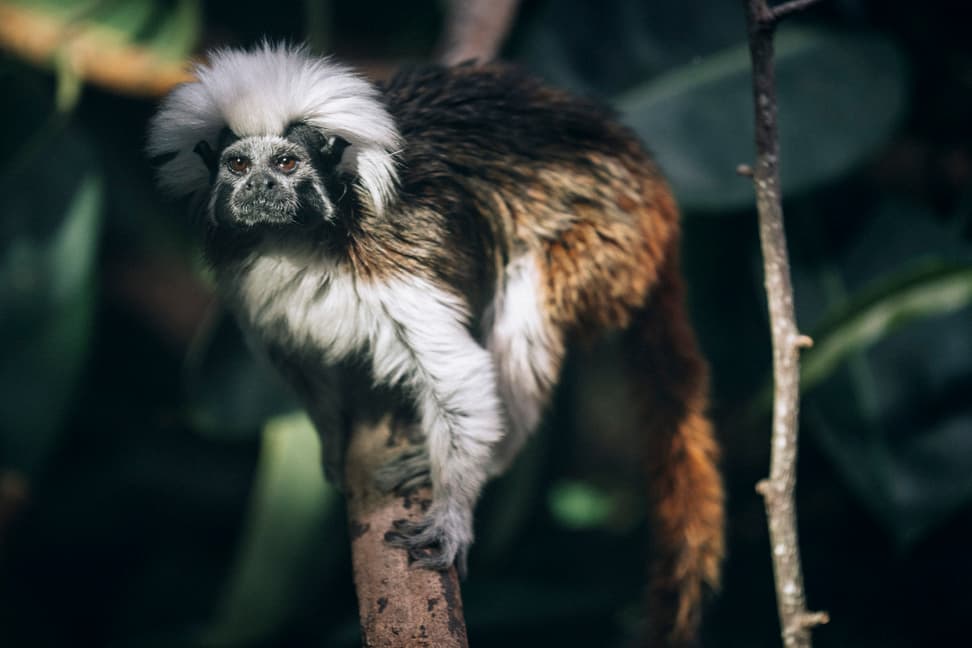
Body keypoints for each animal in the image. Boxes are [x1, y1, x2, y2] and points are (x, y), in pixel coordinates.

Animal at [148, 43, 723, 646]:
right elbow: (299, 369)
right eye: (238, 166)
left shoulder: (391, 265)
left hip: (607, 238)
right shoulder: (249, 288)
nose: (260, 188)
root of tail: (647, 177)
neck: (299, 240)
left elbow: (458, 377)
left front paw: (453, 513)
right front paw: (333, 441)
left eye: (285, 163)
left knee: (524, 305)